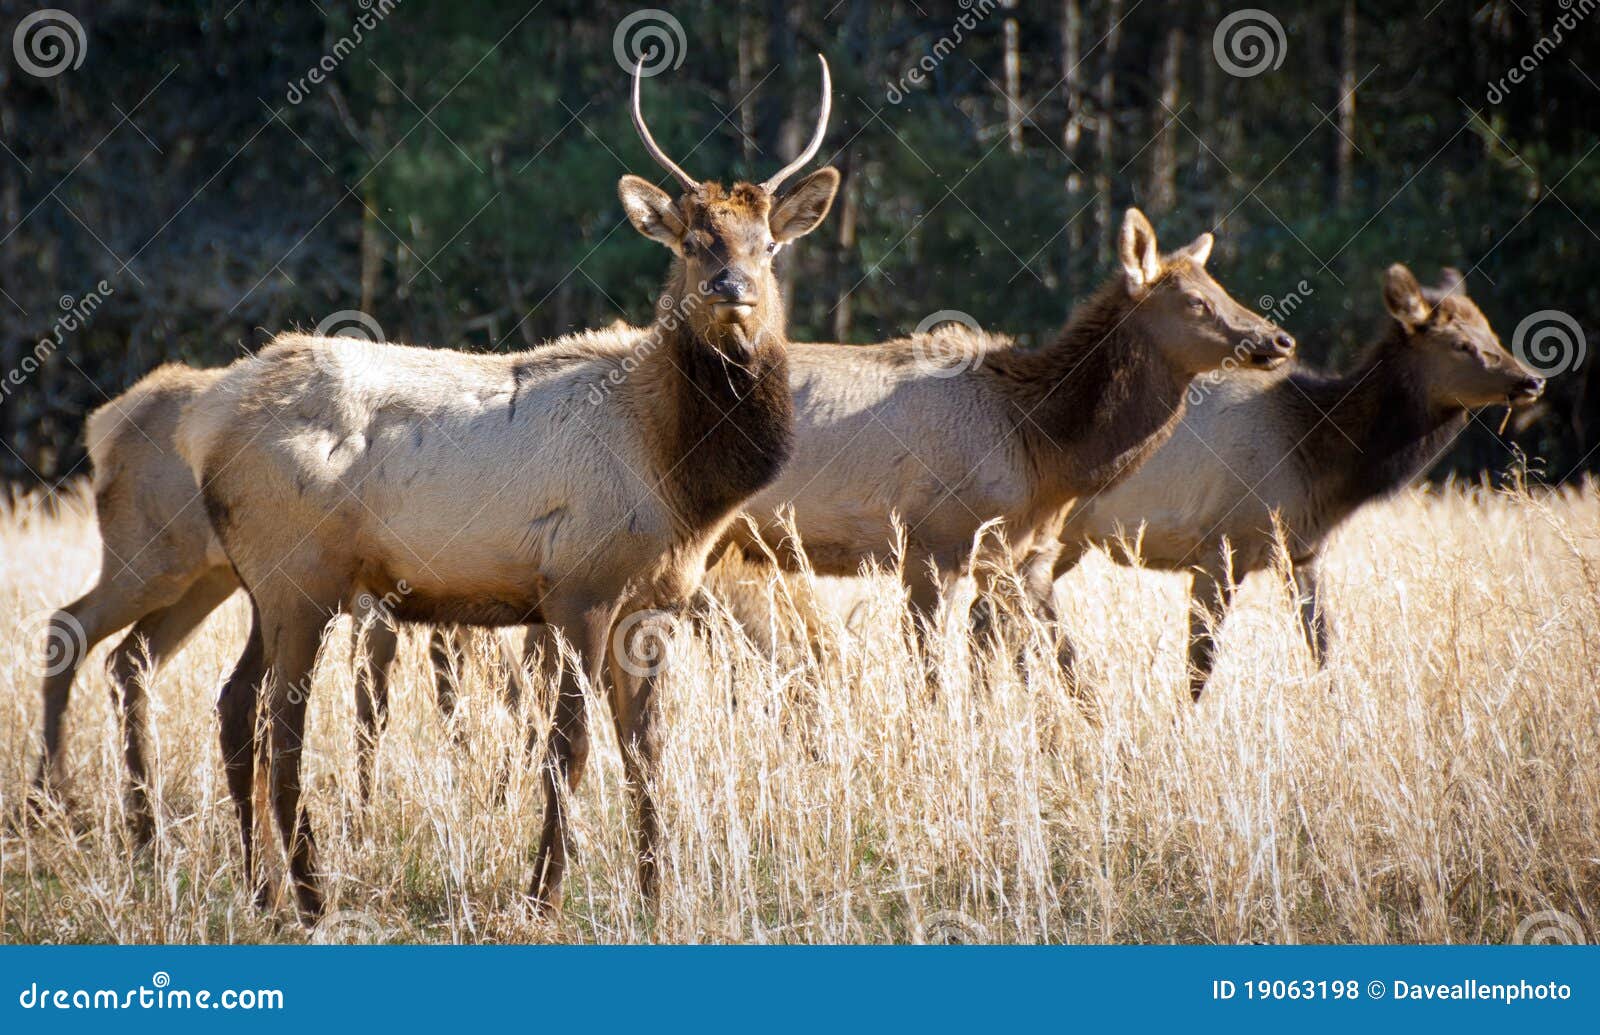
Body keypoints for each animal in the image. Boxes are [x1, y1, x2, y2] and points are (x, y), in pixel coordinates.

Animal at [720, 207, 1292, 630]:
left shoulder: (1016, 554)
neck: (1045, 452)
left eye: (1221, 289)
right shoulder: (936, 540)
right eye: (1196, 302)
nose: (1280, 339)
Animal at [1030, 265, 1542, 703]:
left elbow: (1323, 649)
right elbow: (1199, 665)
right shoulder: (1220, 546)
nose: (1531, 379)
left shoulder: (1303, 552)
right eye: (1460, 344)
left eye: (1490, 330)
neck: (1317, 461)